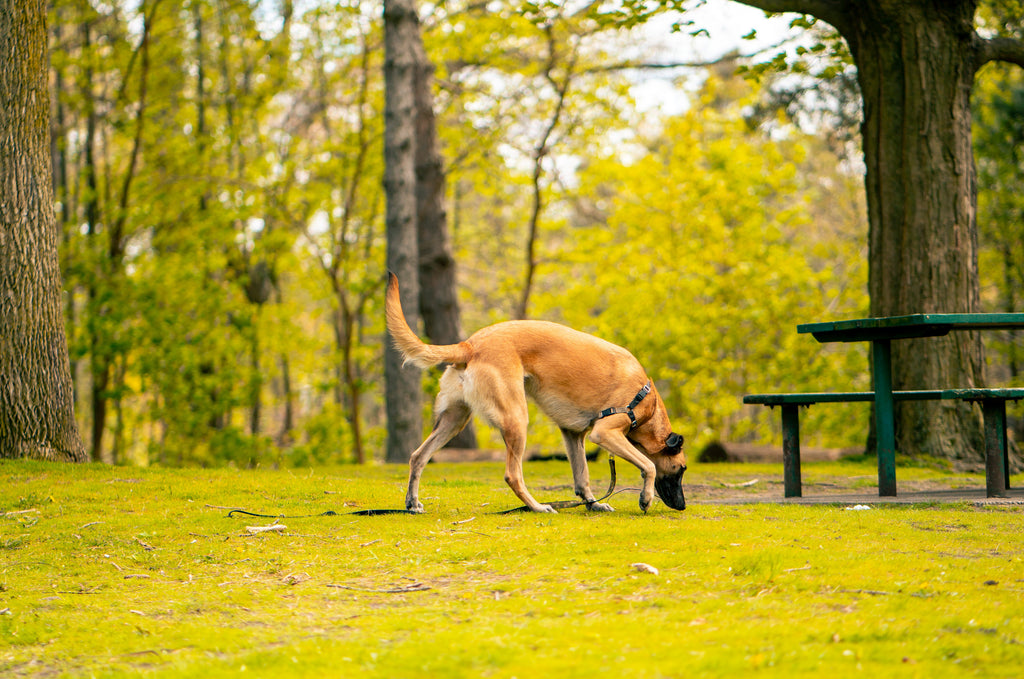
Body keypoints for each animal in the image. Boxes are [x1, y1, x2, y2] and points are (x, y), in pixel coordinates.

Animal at [385, 274, 688, 512]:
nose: (683, 505)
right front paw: (645, 498)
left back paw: (412, 503)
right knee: (512, 475)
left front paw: (593, 504)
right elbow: (648, 465)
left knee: (418, 456)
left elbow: (582, 476)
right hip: (516, 418)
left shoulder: (573, 434)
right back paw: (538, 506)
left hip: (454, 421)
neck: (646, 401)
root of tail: (469, 344)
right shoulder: (605, 432)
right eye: (681, 469)